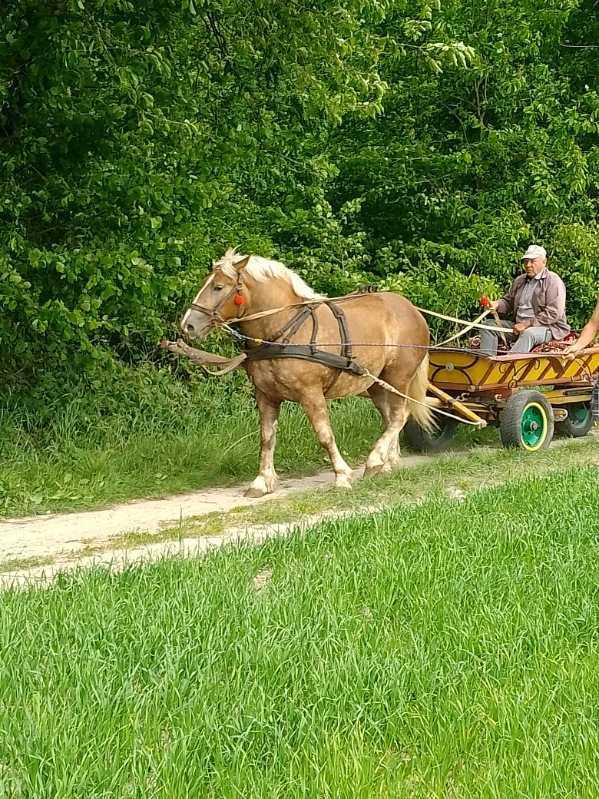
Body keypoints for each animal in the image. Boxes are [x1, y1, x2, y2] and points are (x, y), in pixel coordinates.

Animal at [180, 250, 434, 500]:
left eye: (218, 287)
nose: (188, 325)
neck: (283, 329)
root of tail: (411, 309)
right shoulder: (265, 395)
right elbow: (266, 437)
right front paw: (262, 481)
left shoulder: (311, 393)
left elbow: (324, 435)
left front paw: (342, 476)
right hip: (375, 383)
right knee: (389, 418)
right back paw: (386, 463)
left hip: (398, 377)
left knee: (400, 416)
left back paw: (374, 461)